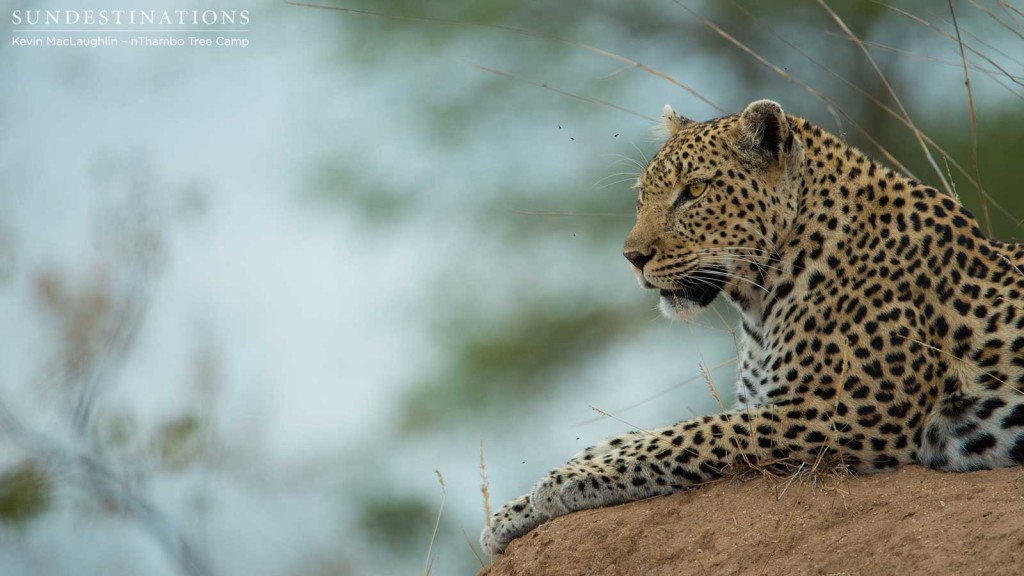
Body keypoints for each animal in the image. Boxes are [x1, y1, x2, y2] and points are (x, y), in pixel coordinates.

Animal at [479, 97, 1024, 553]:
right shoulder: (774, 404)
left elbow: (691, 434)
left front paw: (562, 485)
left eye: (694, 190)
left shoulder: (840, 415)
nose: (632, 258)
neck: (761, 300)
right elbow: (634, 435)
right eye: (641, 197)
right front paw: (513, 510)